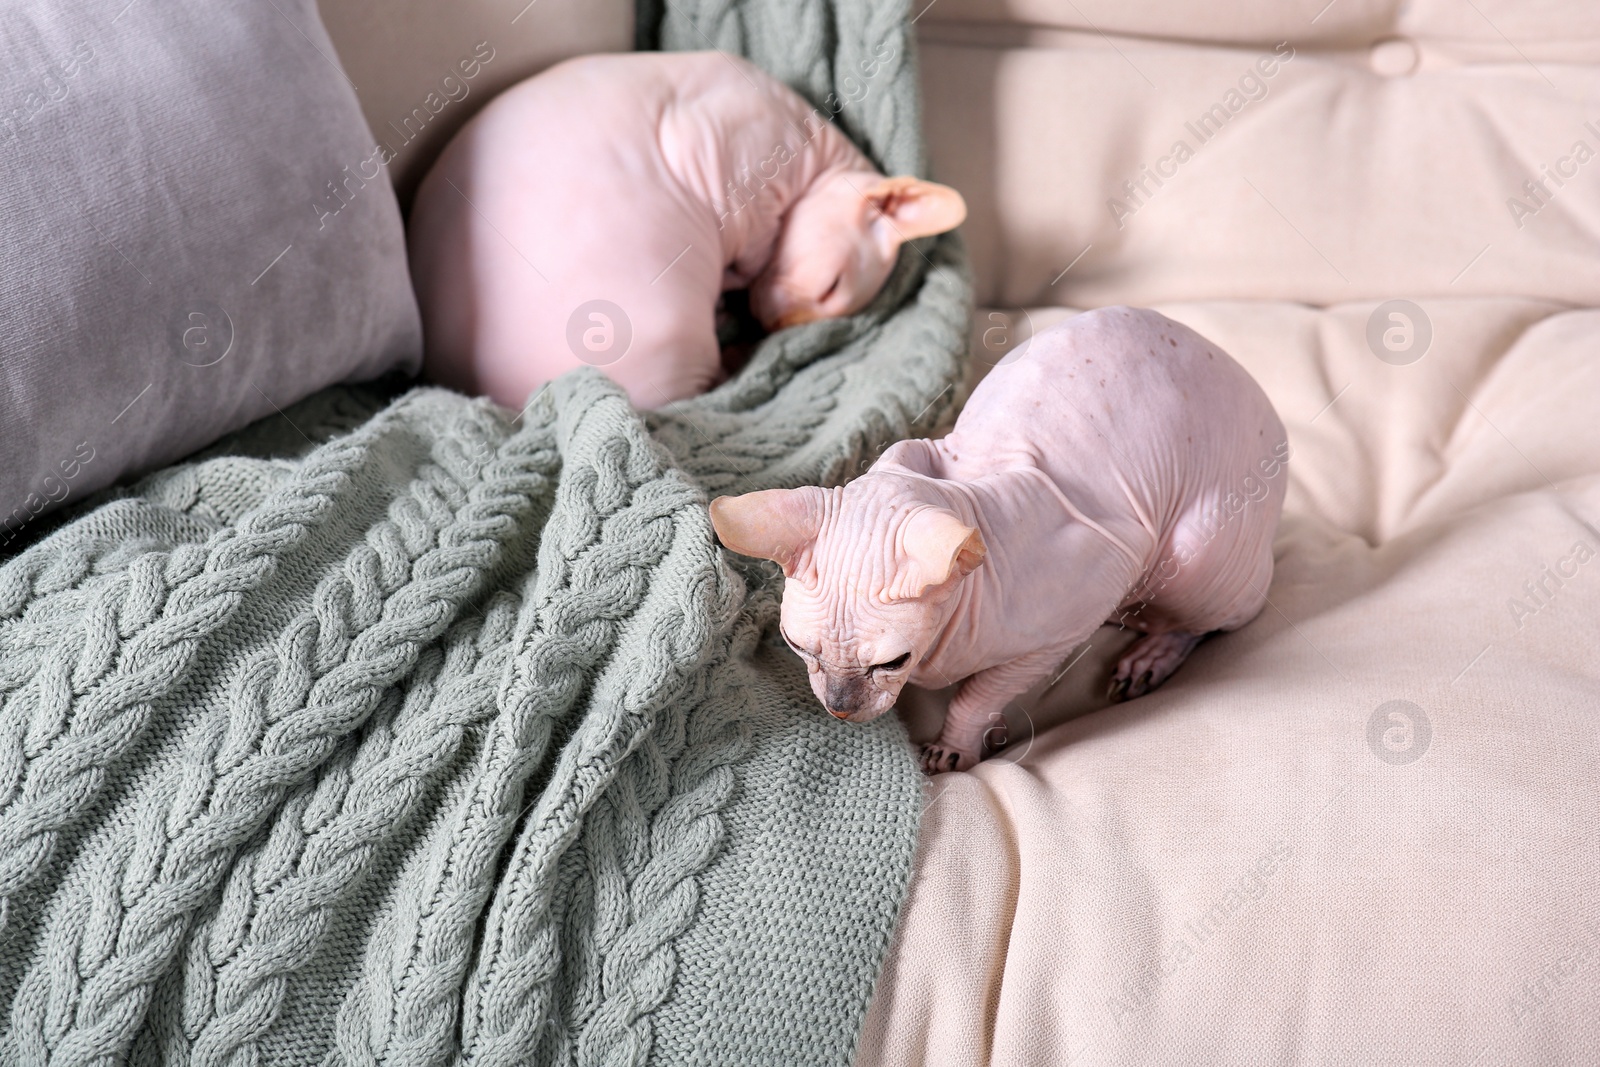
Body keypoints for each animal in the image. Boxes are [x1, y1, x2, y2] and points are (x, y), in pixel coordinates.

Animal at [713, 308, 1286, 777]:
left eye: (892, 663)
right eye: (796, 647)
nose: (839, 707)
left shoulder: (1069, 615)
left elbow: (978, 693)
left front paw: (954, 748)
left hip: (1196, 555)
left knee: (1223, 615)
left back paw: (1153, 654)